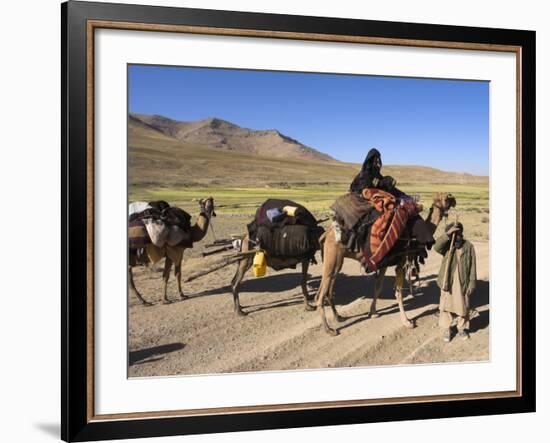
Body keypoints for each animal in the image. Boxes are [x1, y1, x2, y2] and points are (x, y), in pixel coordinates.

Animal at [314, 193, 458, 334]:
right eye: (446, 199)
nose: (453, 199)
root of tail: (326, 233)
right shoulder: (401, 261)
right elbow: (398, 292)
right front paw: (407, 322)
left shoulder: (384, 262)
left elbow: (378, 288)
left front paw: (373, 312)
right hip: (332, 256)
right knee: (321, 292)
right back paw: (329, 329)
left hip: (338, 260)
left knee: (328, 288)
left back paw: (338, 317)